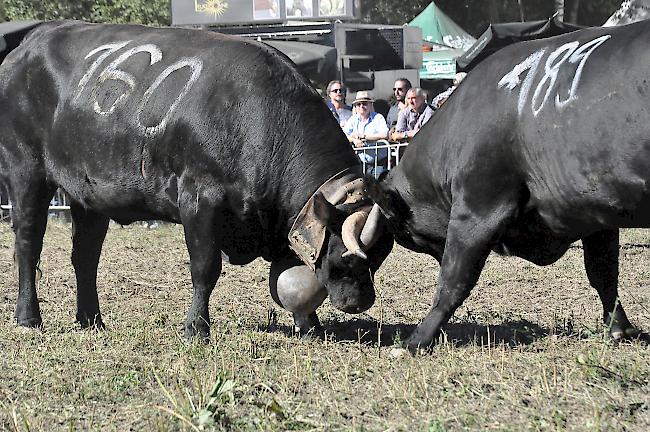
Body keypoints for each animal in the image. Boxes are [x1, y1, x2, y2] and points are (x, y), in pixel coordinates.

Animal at [0, 21, 392, 338]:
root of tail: (29, 44)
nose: (361, 301)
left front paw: (310, 326)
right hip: (25, 171)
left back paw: (92, 320)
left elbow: (286, 280)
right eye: (345, 255)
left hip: (88, 194)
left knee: (84, 256)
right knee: (28, 244)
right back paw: (28, 318)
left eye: (379, 257)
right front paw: (196, 327)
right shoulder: (200, 199)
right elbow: (205, 268)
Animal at [370, 22, 648, 352]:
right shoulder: (596, 211)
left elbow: (453, 280)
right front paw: (619, 328)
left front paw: (416, 340)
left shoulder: (477, 208)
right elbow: (602, 274)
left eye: (405, 234)